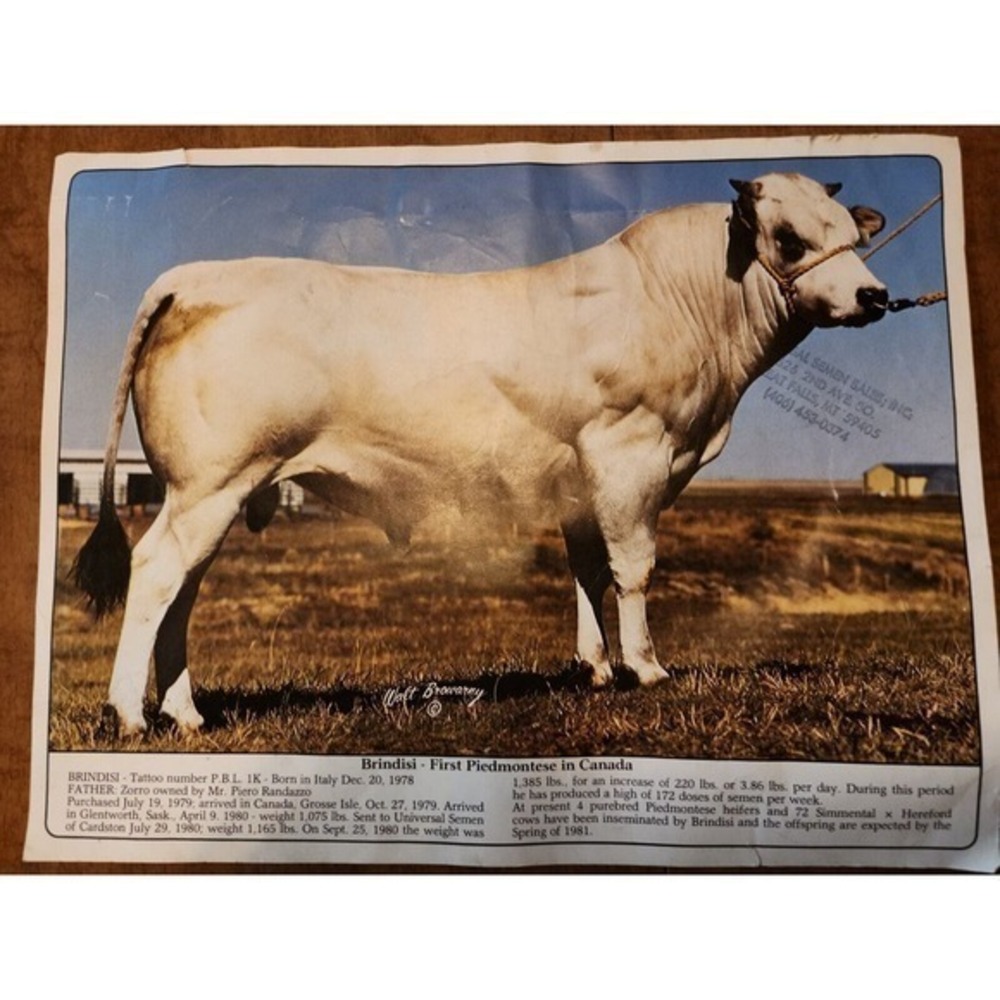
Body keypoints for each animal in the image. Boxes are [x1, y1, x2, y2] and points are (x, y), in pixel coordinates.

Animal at [73, 172, 888, 736]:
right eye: (789, 239)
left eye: (854, 234)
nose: (875, 297)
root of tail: (198, 275)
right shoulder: (630, 456)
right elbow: (633, 569)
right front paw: (648, 667)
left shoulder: (580, 481)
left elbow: (589, 572)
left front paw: (597, 667)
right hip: (207, 486)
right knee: (156, 573)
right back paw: (132, 714)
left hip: (214, 492)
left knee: (183, 589)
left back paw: (186, 712)